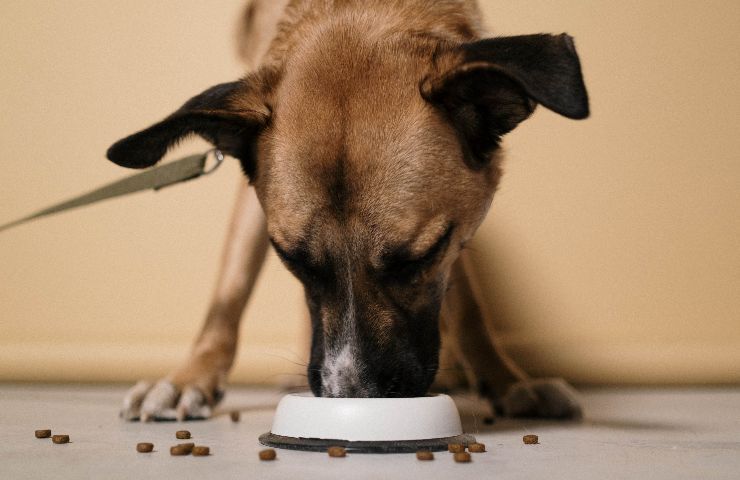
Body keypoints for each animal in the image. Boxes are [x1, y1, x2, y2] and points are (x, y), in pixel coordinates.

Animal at [107, 0, 588, 420]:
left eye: (420, 258)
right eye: (292, 259)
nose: (353, 396)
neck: (355, 9)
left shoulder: (457, 227)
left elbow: (468, 305)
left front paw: (507, 380)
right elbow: (230, 290)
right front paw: (190, 377)